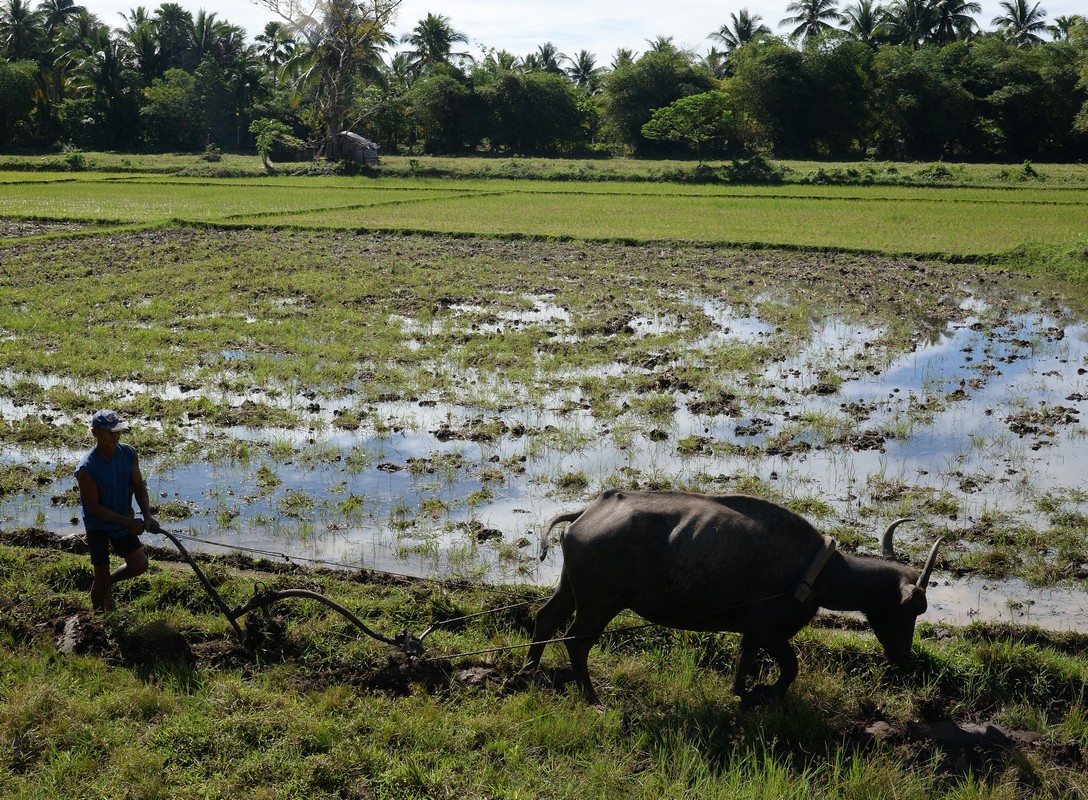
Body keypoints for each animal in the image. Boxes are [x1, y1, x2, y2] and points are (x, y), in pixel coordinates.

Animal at [526, 491, 944, 705]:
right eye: (910, 609)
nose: (902, 656)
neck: (817, 569)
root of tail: (587, 511)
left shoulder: (753, 633)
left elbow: (745, 660)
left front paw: (741, 693)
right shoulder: (768, 630)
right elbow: (791, 667)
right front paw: (768, 695)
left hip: (571, 589)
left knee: (545, 619)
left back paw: (527, 674)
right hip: (599, 603)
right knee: (576, 642)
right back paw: (593, 698)